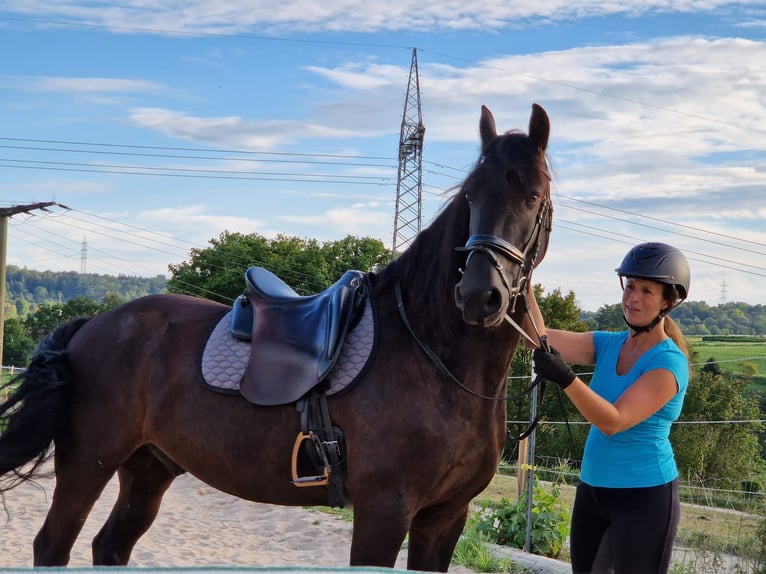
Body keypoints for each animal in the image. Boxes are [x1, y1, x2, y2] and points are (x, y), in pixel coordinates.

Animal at [0, 103, 552, 572]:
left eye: (533, 196)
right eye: (471, 196)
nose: (479, 296)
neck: (434, 357)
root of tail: (93, 326)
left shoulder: (445, 516)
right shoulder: (384, 510)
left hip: (148, 467)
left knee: (110, 546)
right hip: (87, 464)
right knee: (53, 544)